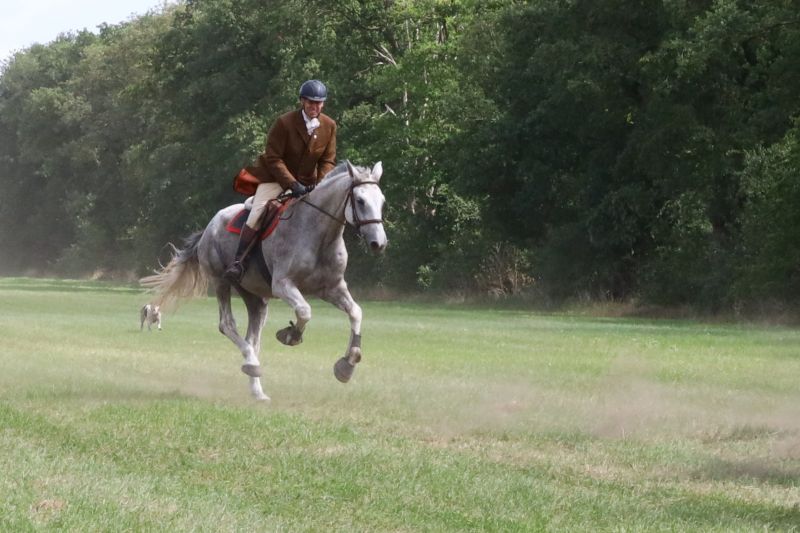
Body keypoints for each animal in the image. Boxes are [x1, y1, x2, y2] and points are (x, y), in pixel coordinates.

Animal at [140, 161, 387, 400]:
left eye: (382, 201)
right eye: (360, 200)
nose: (379, 243)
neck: (319, 235)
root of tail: (209, 227)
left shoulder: (332, 288)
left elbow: (355, 312)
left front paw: (347, 365)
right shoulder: (283, 285)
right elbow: (305, 311)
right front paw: (290, 335)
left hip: (255, 297)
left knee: (252, 339)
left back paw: (257, 389)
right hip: (221, 281)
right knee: (227, 325)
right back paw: (252, 365)